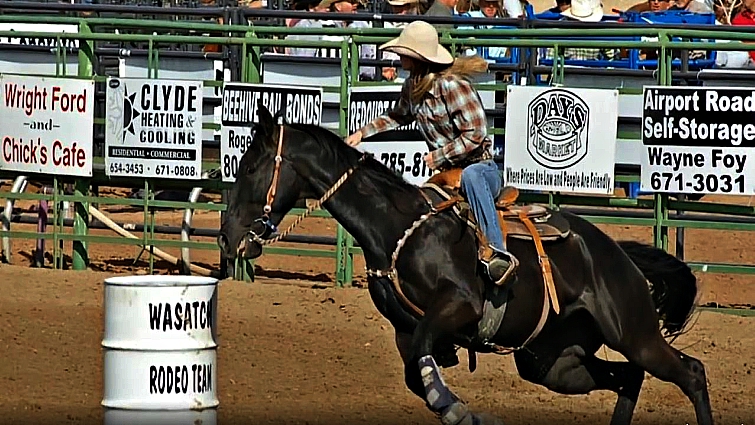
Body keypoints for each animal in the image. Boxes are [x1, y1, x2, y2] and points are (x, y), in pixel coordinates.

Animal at [217, 103, 713, 425]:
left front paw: (459, 411)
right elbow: (416, 373)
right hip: (553, 361)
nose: (227, 238)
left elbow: (425, 364)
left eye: (250, 167)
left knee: (689, 373)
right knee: (628, 377)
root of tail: (616, 254)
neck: (397, 227)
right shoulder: (407, 330)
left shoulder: (459, 307)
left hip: (634, 333)